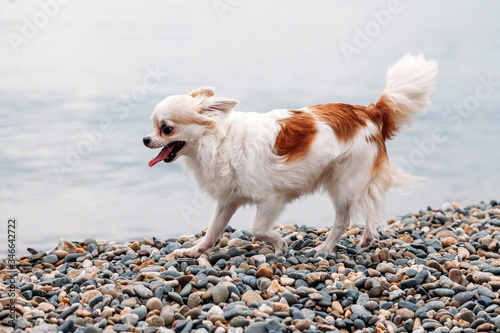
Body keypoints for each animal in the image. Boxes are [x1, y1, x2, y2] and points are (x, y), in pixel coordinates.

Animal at [144, 54, 438, 256]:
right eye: (153, 126)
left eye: (166, 128)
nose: (145, 139)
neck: (218, 140)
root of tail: (369, 111)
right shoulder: (228, 200)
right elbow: (213, 230)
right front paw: (195, 250)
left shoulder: (271, 199)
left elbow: (258, 229)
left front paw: (280, 244)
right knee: (370, 205)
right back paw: (367, 238)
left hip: (343, 183)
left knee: (343, 220)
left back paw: (324, 250)